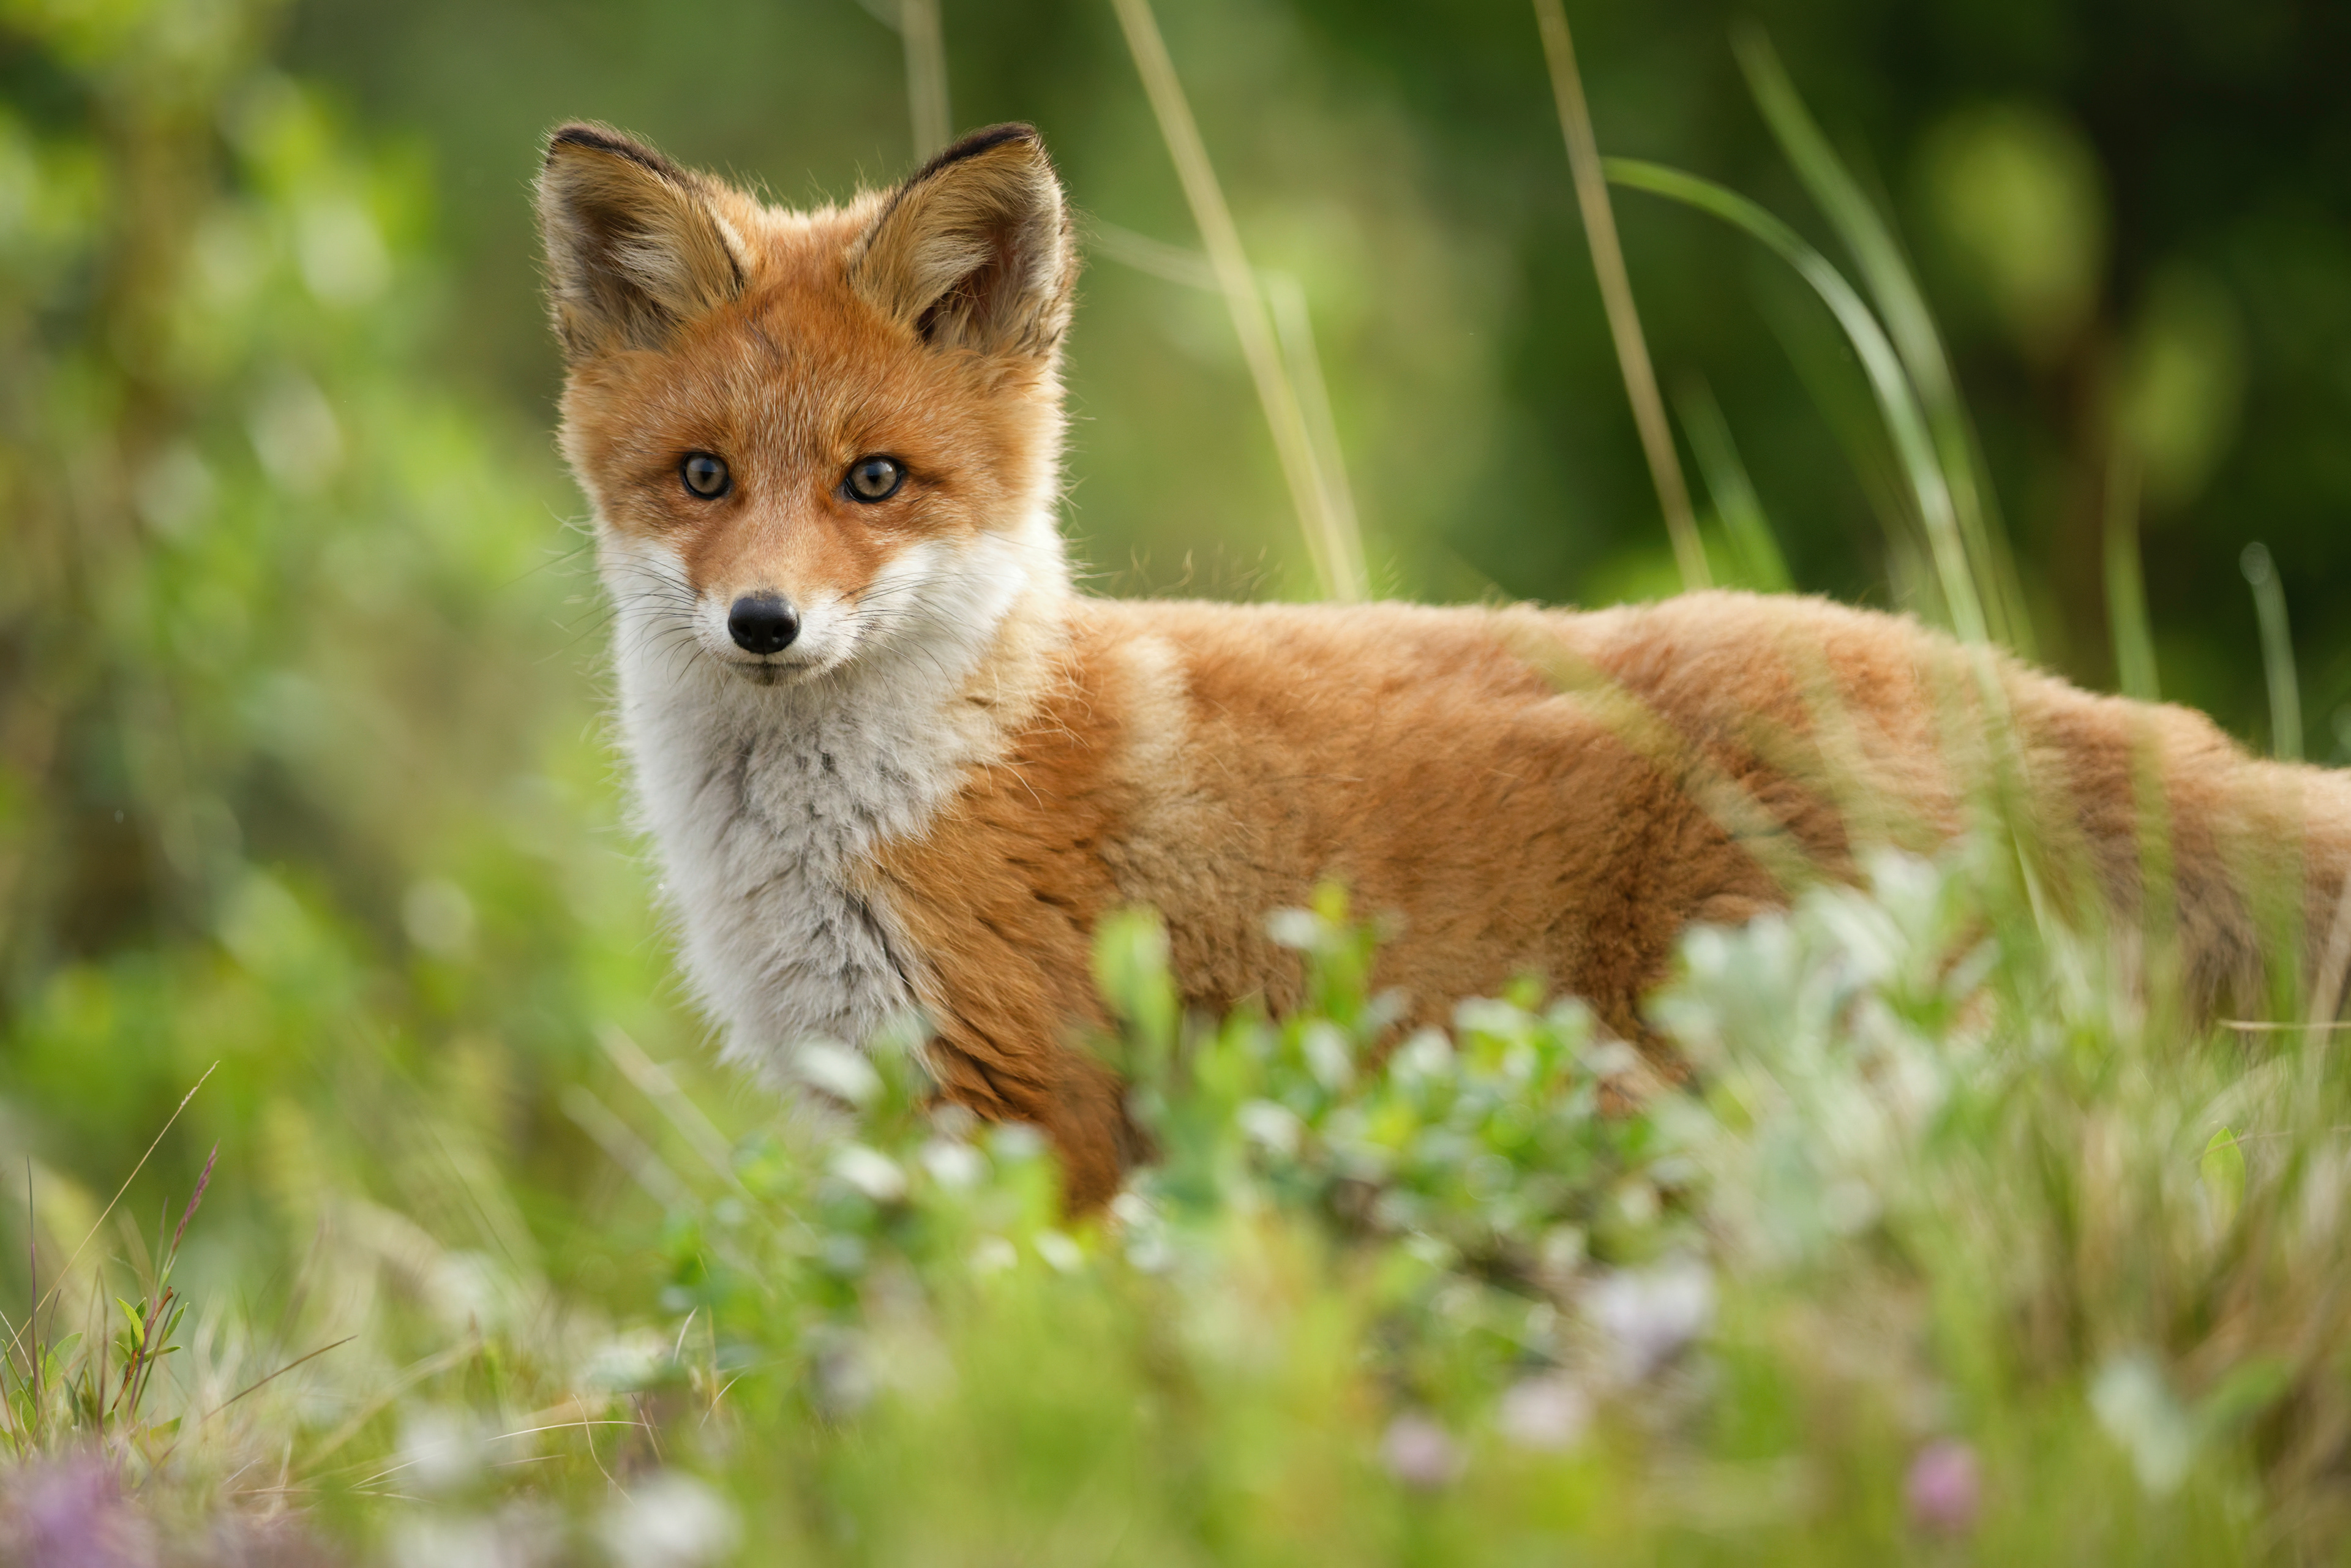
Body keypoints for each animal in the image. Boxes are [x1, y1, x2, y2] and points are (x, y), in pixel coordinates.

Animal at [538, 120, 2351, 1209]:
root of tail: (1928, 655)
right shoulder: (882, 1115)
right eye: (702, 478)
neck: (864, 815)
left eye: (874, 482)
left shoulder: (1025, 1105)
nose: (764, 624)